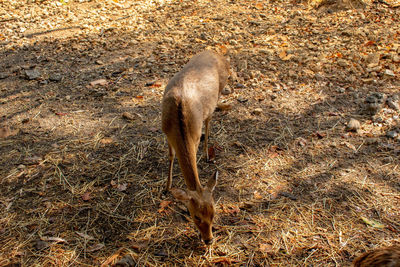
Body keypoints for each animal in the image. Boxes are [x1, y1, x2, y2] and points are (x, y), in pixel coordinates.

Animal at [159, 49, 228, 245]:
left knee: (209, 120)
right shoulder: (165, 132)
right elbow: (171, 156)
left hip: (219, 93)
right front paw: (166, 187)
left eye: (214, 213)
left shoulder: (195, 137)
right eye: (195, 216)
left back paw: (207, 154)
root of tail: (215, 52)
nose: (209, 240)